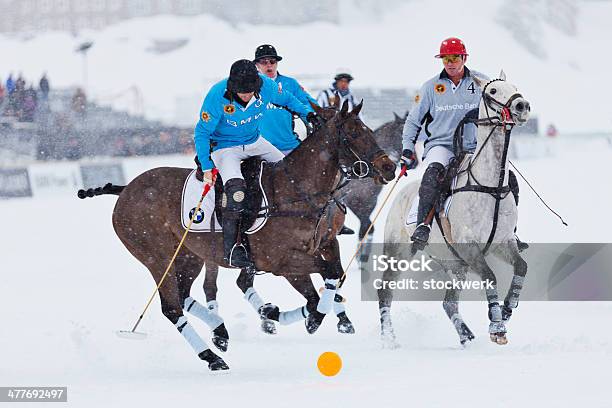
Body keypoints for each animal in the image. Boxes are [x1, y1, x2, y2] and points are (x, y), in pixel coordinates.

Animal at [80, 100, 396, 372]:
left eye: (369, 130)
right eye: (353, 134)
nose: (389, 167)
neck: (297, 191)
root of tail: (126, 189)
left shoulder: (323, 245)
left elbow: (330, 279)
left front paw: (287, 314)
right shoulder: (280, 262)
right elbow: (327, 276)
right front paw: (309, 318)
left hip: (189, 256)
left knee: (184, 295)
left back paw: (221, 330)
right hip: (157, 257)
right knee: (171, 308)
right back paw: (212, 357)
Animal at [380, 73, 532, 348]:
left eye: (515, 88)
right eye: (493, 90)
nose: (522, 106)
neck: (489, 185)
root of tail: (401, 193)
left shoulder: (502, 242)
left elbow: (522, 267)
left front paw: (506, 309)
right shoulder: (468, 245)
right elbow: (490, 275)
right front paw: (497, 326)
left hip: (454, 263)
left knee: (448, 302)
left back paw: (466, 335)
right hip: (398, 251)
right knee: (385, 290)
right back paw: (390, 338)